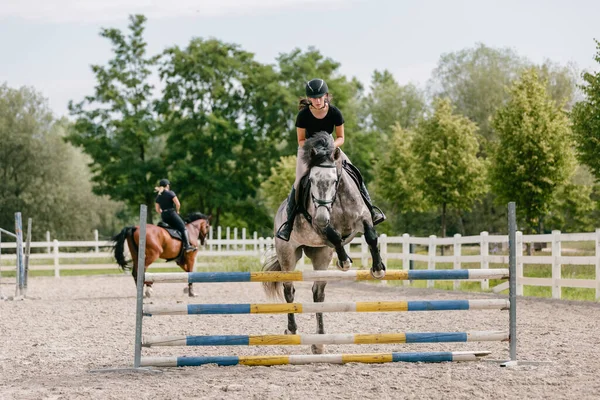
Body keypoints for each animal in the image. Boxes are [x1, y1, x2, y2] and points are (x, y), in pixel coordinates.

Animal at [262, 130, 384, 354]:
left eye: (335, 181)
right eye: (311, 180)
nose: (320, 218)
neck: (339, 199)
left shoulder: (363, 218)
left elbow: (371, 236)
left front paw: (378, 268)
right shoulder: (320, 228)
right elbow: (334, 235)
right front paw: (344, 263)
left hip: (321, 254)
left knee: (317, 294)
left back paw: (319, 341)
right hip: (288, 255)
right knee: (289, 290)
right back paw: (292, 329)